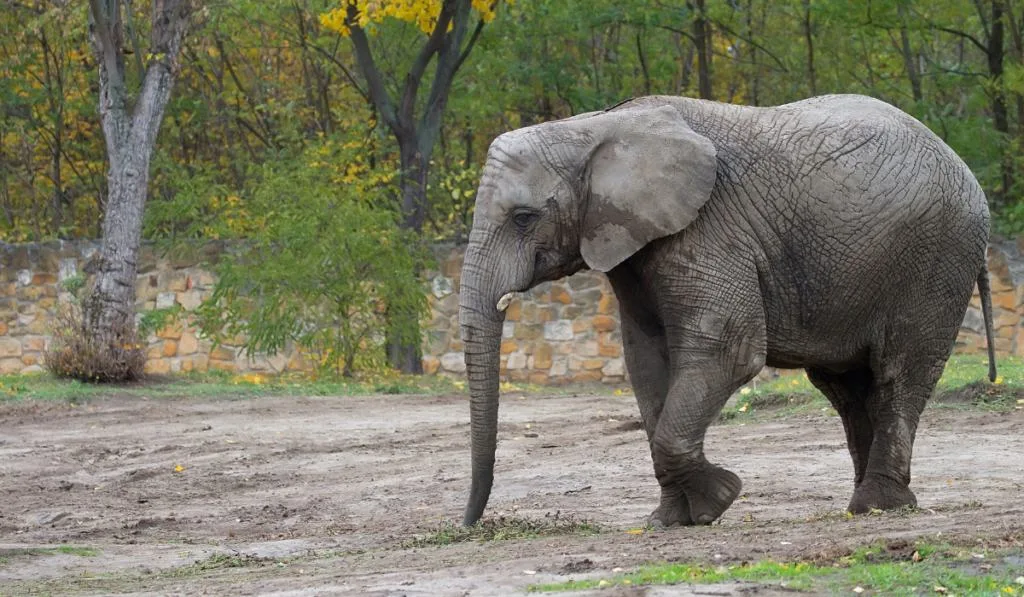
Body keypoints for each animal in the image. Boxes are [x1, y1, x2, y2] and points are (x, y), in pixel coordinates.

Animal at [458, 94, 999, 528]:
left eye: (523, 218)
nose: (469, 524)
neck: (595, 128)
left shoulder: (708, 230)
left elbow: (728, 351)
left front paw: (718, 500)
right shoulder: (634, 247)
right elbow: (646, 364)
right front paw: (668, 521)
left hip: (937, 259)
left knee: (898, 374)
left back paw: (877, 507)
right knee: (846, 388)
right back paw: (870, 504)